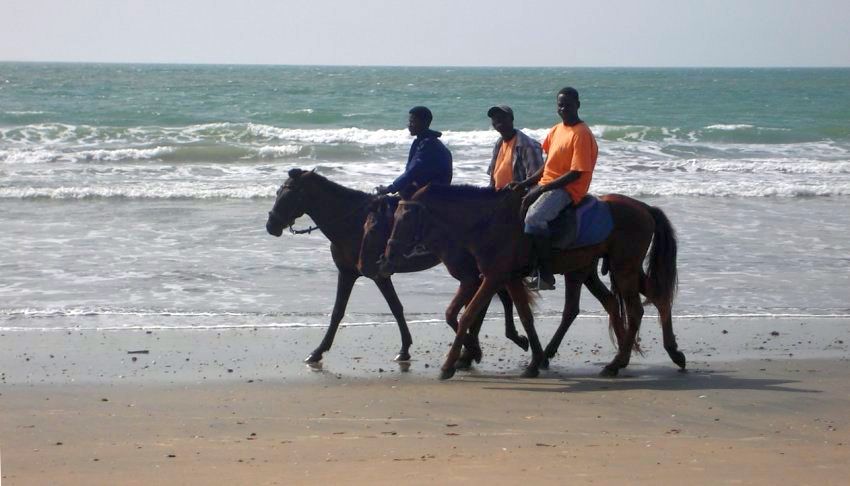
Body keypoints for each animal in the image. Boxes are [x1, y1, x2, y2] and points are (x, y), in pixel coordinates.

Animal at [264, 169, 528, 366]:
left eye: (288, 194)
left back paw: (494, 342)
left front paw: (404, 348)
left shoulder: (377, 275)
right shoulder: (349, 273)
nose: (271, 225)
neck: (353, 222)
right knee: (498, 295)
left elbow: (394, 308)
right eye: (277, 192)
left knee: (498, 295)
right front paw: (319, 351)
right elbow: (340, 312)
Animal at [382, 185, 684, 380]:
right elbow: (524, 316)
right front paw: (534, 360)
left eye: (406, 218)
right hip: (617, 269)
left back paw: (618, 361)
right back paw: (667, 352)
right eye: (393, 218)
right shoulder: (509, 278)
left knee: (635, 309)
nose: (388, 254)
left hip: (623, 269)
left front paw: (450, 364)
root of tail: (643, 207)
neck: (488, 223)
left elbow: (467, 315)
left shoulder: (491, 277)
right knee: (653, 297)